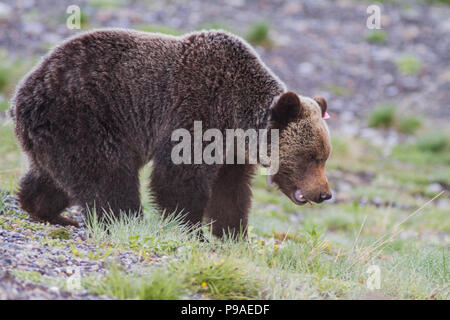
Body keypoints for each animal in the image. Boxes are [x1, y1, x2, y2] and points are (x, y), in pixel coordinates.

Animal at [8, 28, 332, 238]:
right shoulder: (198, 113)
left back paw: (49, 212)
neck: (237, 116)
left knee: (55, 176)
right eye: (311, 157)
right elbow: (178, 178)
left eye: (324, 156)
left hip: (58, 134)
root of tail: (19, 96)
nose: (324, 194)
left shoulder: (232, 151)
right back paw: (126, 220)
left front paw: (233, 235)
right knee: (108, 175)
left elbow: (231, 191)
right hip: (84, 116)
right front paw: (190, 229)